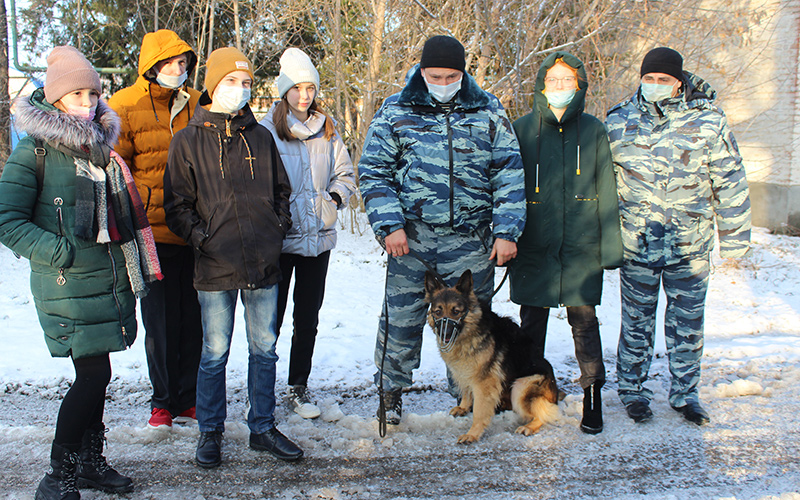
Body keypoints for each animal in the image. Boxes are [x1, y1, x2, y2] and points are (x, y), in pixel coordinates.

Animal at [422, 272, 560, 444]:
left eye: (456, 311)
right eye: (438, 312)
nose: (445, 334)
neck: (470, 331)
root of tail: (555, 394)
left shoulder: (484, 383)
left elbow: (479, 411)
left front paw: (473, 434)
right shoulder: (465, 371)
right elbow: (466, 390)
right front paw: (464, 407)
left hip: (520, 385)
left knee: (545, 414)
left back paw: (529, 426)